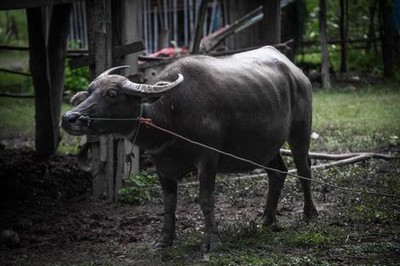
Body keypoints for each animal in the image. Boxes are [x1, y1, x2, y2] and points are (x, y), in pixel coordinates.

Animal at [61, 46, 318, 251]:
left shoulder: (208, 159)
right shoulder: (162, 166)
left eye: (112, 93)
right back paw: (266, 219)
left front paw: (212, 241)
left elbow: (206, 199)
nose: (69, 118)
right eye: (89, 91)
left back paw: (310, 214)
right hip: (265, 145)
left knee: (304, 169)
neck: (171, 114)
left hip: (300, 131)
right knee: (277, 173)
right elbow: (168, 204)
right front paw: (164, 240)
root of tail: (297, 72)